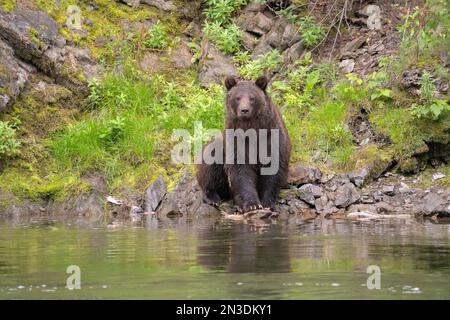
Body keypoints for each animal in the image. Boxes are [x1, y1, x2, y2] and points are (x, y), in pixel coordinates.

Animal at [198, 75, 292, 212]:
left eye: (252, 98)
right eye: (237, 97)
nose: (244, 110)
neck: (252, 128)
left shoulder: (272, 138)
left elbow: (273, 168)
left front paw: (267, 202)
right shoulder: (237, 141)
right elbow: (241, 170)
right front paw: (252, 204)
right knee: (210, 165)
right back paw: (213, 198)